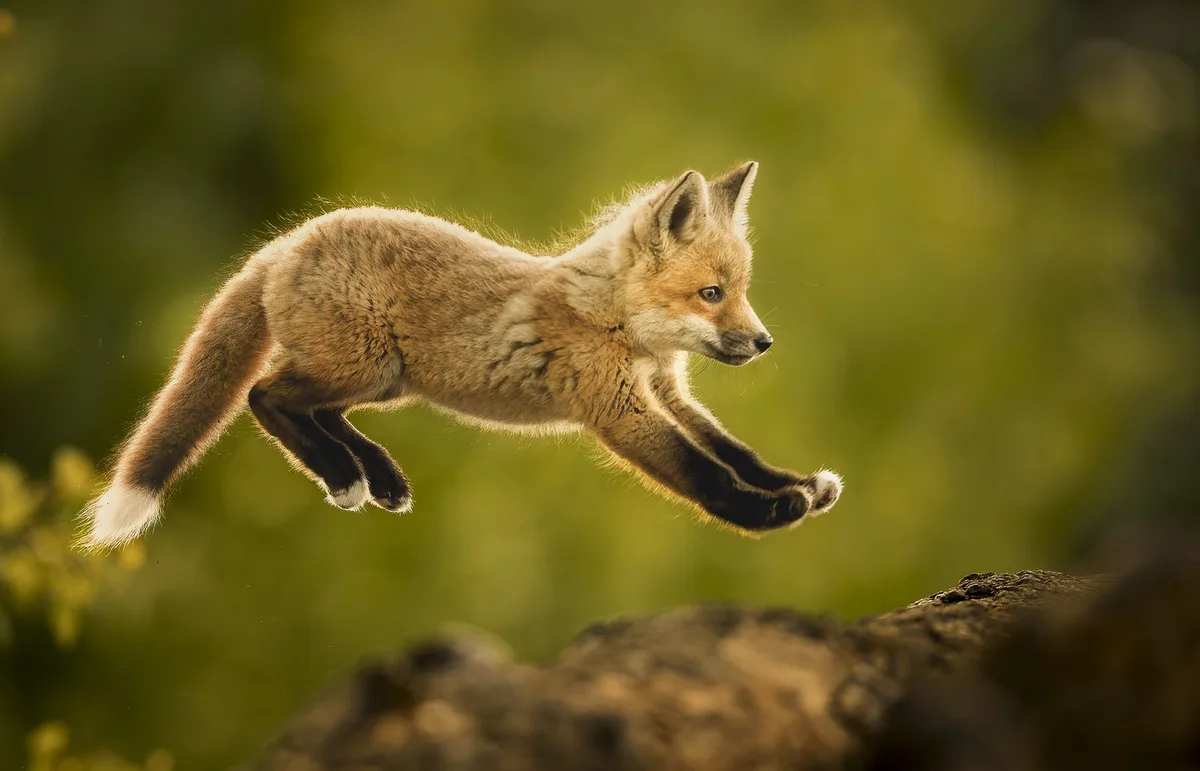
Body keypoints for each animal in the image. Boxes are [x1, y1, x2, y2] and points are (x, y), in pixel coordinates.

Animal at [78, 161, 843, 550]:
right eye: (711, 293)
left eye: (739, 291)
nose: (764, 341)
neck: (620, 324)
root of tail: (287, 241)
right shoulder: (620, 408)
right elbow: (702, 473)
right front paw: (769, 514)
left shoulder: (669, 392)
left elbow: (735, 450)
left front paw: (797, 483)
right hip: (363, 366)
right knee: (264, 396)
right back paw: (346, 476)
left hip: (383, 380)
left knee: (312, 408)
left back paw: (377, 476)